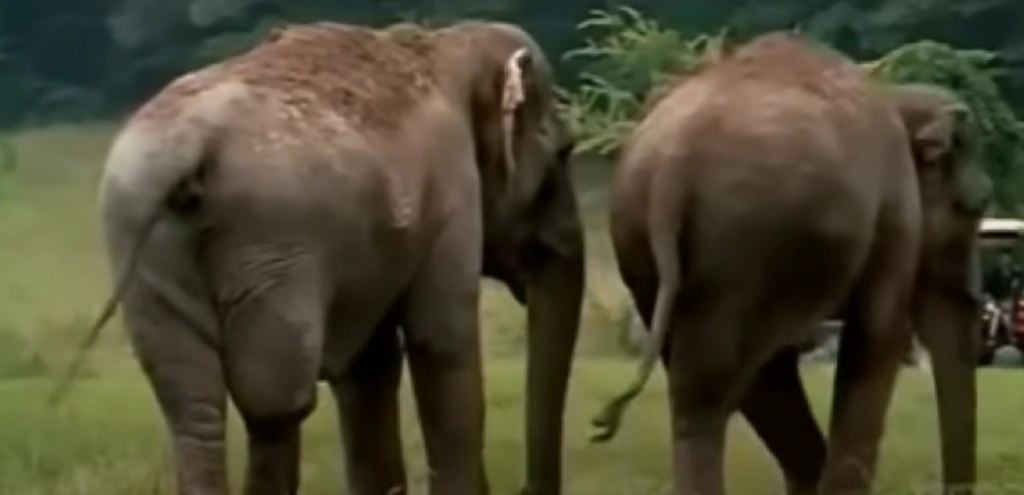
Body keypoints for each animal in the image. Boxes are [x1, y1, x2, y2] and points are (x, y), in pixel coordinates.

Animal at [73, 20, 585, 495]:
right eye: (564, 153)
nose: (526, 488)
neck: (443, 46)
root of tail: (190, 146)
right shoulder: (453, 190)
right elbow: (441, 341)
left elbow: (370, 363)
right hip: (274, 242)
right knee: (275, 400)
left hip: (141, 241)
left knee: (190, 401)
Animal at [592, 32, 990, 495]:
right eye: (976, 207)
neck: (896, 95)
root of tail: (675, 161)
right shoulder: (896, 216)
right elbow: (878, 337)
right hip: (753, 241)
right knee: (724, 387)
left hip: (664, 250)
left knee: (714, 389)